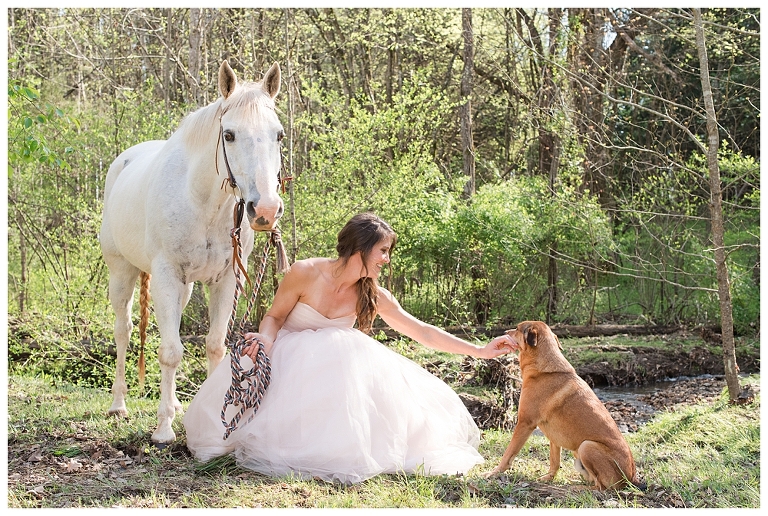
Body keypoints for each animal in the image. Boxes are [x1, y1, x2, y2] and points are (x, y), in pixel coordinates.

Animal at [99, 61, 285, 444]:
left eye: (279, 135)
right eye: (229, 135)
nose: (265, 210)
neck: (204, 203)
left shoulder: (226, 279)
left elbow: (215, 345)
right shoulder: (167, 276)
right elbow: (170, 352)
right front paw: (163, 429)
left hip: (183, 288)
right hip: (122, 274)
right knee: (124, 331)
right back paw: (119, 404)